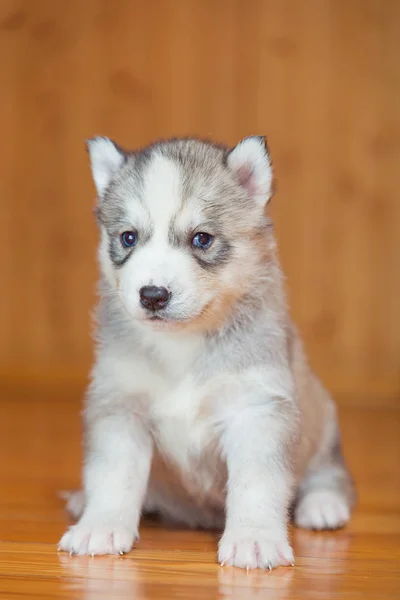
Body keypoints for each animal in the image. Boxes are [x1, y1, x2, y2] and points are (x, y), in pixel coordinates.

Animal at [58, 134, 354, 568]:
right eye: (128, 237)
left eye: (202, 238)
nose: (152, 295)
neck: (183, 343)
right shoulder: (121, 406)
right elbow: (113, 476)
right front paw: (102, 525)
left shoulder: (256, 409)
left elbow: (256, 484)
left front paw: (254, 538)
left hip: (322, 421)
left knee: (330, 473)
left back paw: (322, 505)